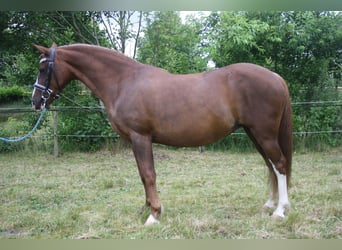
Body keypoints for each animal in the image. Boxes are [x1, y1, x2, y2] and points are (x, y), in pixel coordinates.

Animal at [31, 44, 292, 226]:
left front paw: (154, 215)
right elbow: (142, 175)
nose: (35, 101)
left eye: (43, 69)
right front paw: (147, 208)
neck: (124, 81)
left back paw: (280, 211)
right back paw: (269, 205)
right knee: (271, 165)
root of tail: (276, 77)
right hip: (254, 134)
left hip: (264, 134)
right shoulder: (136, 141)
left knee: (279, 164)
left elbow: (149, 175)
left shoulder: (141, 137)